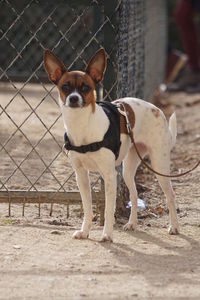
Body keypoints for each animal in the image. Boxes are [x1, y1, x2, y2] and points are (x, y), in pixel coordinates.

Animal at [44, 48, 180, 243]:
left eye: (86, 87)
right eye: (65, 87)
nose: (74, 99)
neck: (82, 126)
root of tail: (157, 110)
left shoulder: (109, 176)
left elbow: (109, 209)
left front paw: (107, 234)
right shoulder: (81, 176)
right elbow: (87, 207)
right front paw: (85, 231)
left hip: (159, 167)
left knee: (171, 195)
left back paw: (174, 226)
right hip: (128, 170)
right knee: (134, 194)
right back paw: (132, 224)